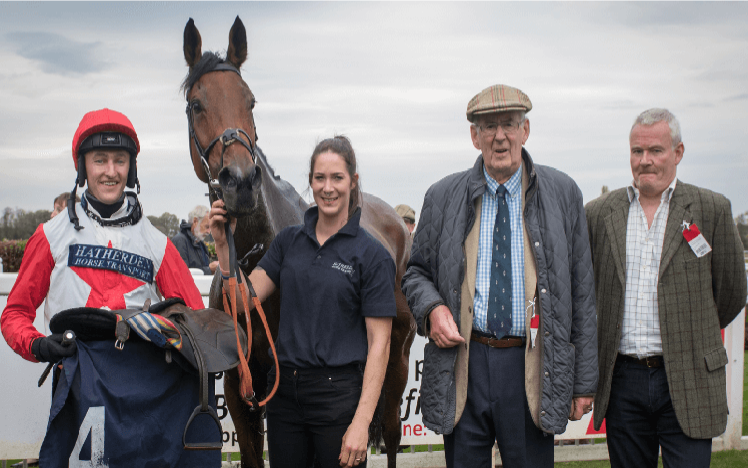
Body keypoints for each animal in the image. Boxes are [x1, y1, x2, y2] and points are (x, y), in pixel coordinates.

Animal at [180, 15, 414, 468]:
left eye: (251, 101)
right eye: (196, 104)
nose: (241, 182)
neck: (253, 261)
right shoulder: (241, 387)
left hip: (394, 362)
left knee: (393, 433)